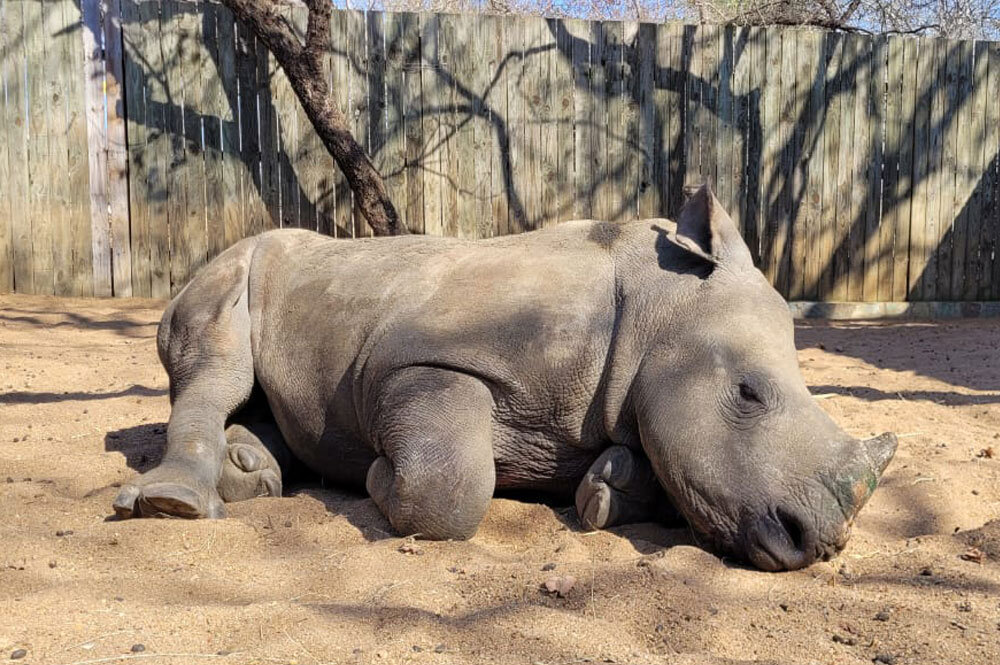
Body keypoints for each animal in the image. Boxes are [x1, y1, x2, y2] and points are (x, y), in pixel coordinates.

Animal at [115, 185, 900, 572]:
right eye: (747, 393)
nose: (820, 544)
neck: (657, 306)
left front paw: (609, 489)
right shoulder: (419, 358)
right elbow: (451, 486)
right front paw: (375, 478)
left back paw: (251, 471)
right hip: (227, 268)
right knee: (215, 360)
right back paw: (175, 504)